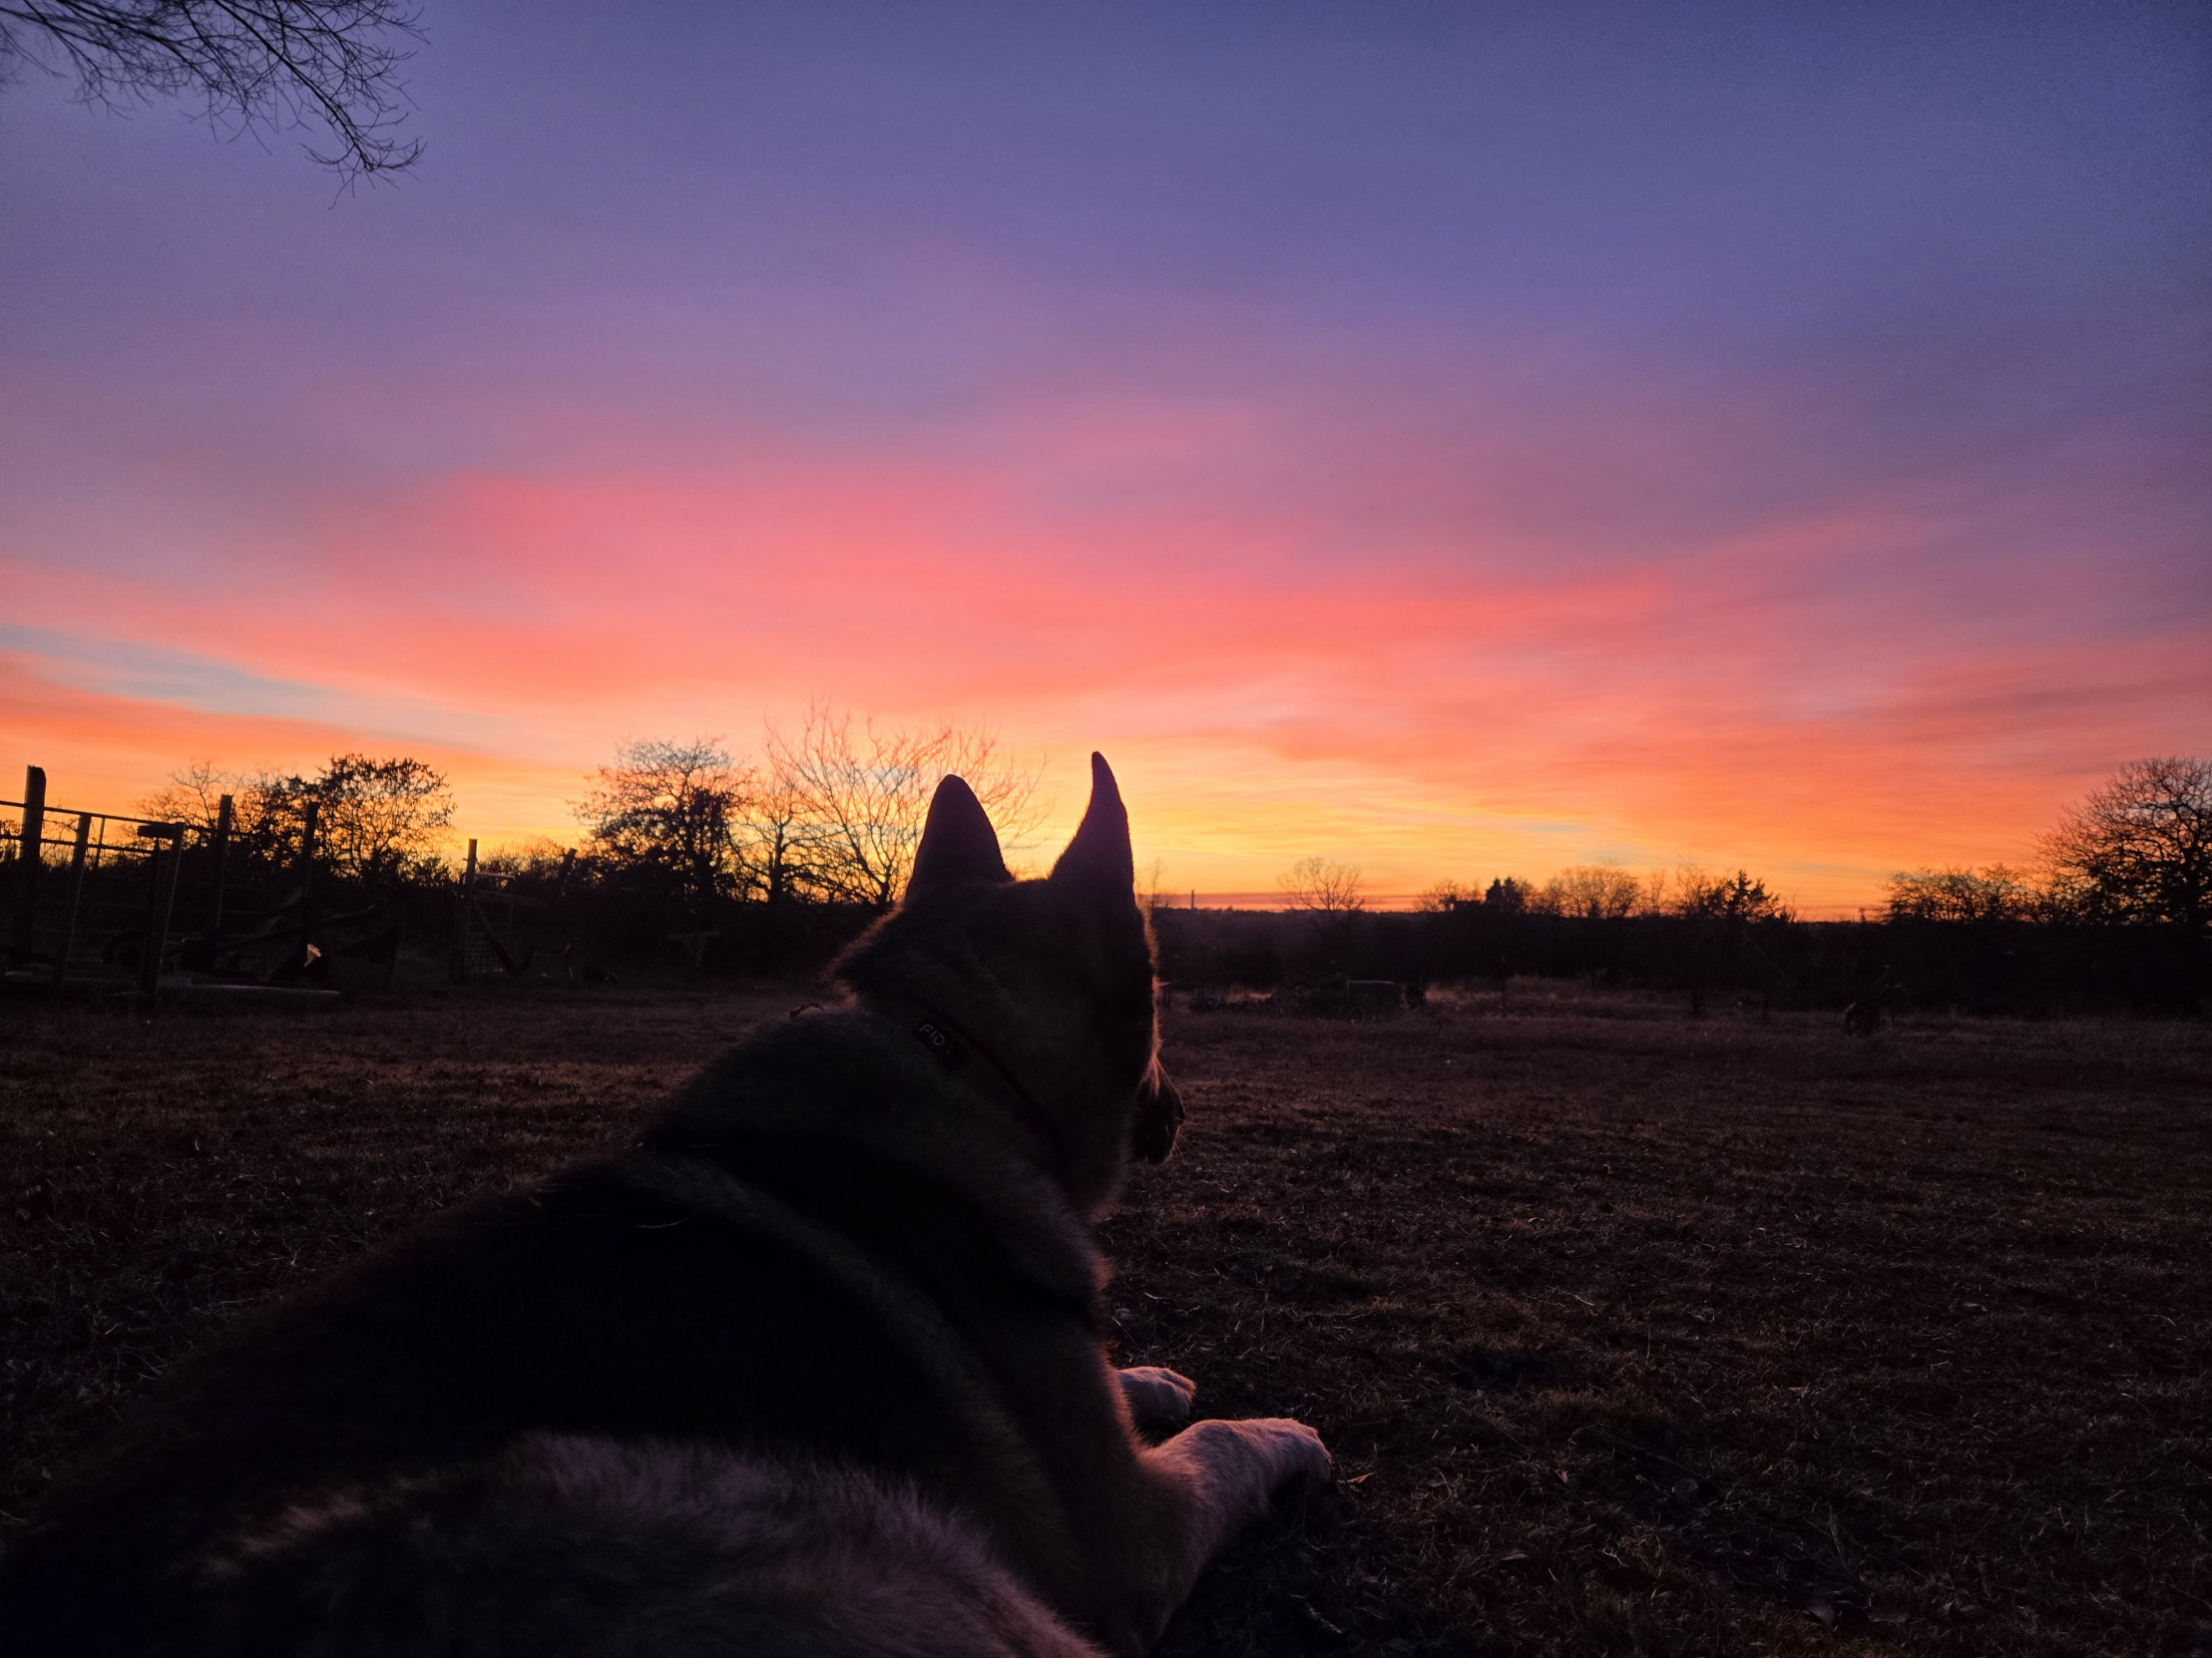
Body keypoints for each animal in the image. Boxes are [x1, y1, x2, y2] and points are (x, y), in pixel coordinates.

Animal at [4, 760, 1327, 1653]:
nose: (1181, 1111)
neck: (956, 1065)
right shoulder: (1133, 1533)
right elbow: (1221, 1444)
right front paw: (1280, 1433)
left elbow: (1132, 1389)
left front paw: (1149, 1375)